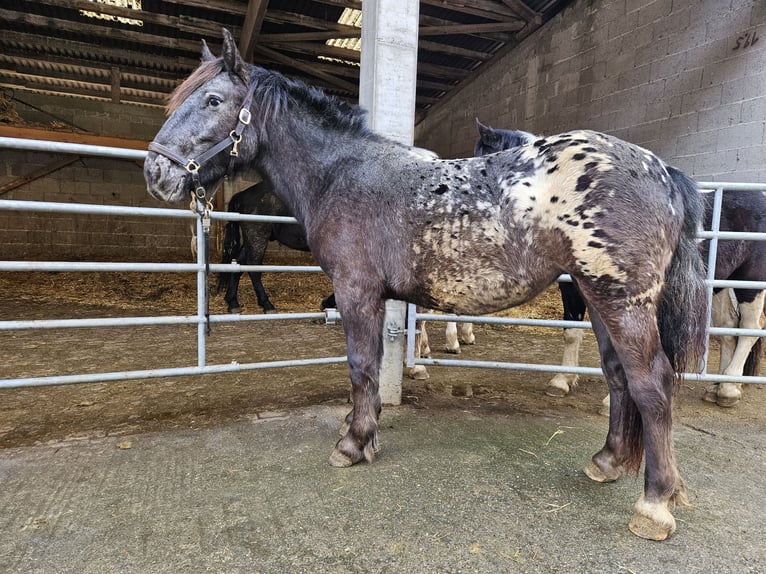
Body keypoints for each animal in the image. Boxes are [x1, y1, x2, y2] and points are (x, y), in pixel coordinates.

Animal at [142, 30, 708, 544]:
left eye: (214, 101)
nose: (155, 172)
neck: (344, 176)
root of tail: (661, 171)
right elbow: (370, 367)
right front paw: (362, 430)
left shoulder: (357, 292)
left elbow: (361, 367)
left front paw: (354, 443)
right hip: (598, 298)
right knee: (618, 376)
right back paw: (607, 461)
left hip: (621, 302)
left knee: (652, 383)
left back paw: (654, 505)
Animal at [476, 122, 764, 410]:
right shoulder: (572, 288)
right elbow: (571, 331)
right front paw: (562, 381)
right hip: (721, 284)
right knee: (729, 327)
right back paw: (718, 386)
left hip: (751, 285)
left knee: (749, 330)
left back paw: (729, 389)